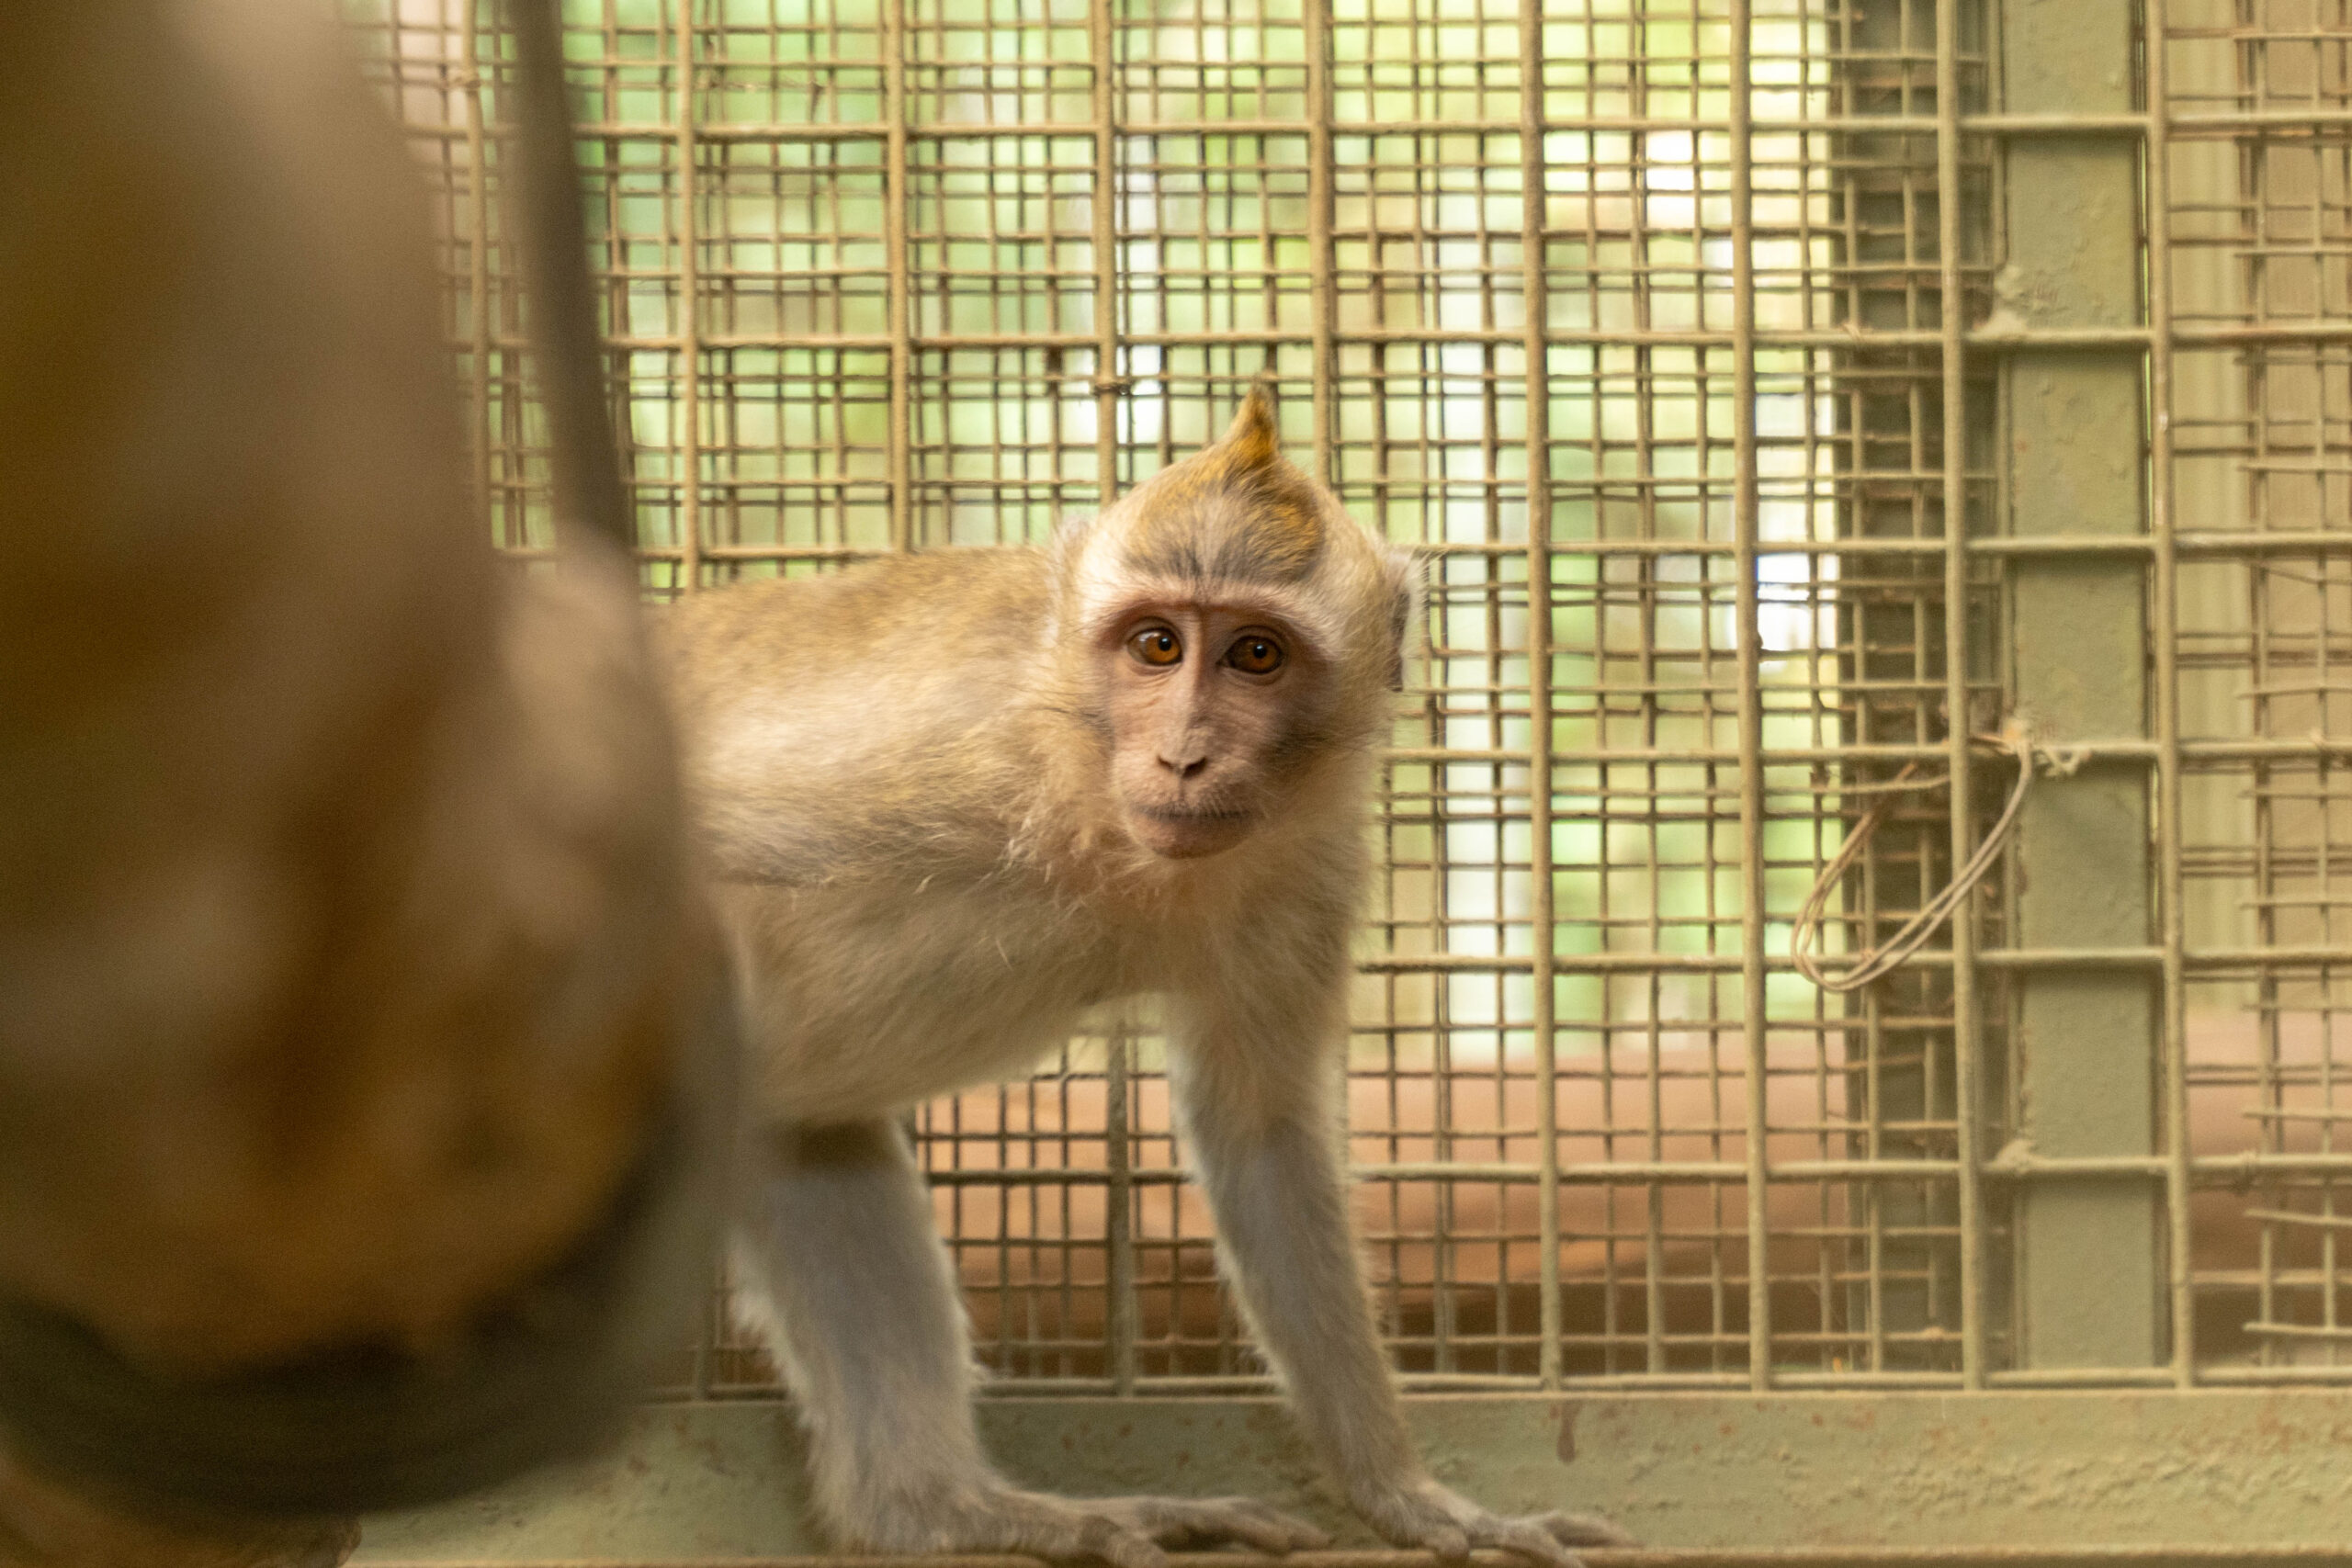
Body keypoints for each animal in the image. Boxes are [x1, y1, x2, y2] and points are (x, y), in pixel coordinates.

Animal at [662, 384, 1634, 1568]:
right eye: (1158, 644)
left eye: (1255, 654)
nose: (1182, 755)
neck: (1088, 791)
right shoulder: (932, 753)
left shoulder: (1307, 870)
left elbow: (1261, 1129)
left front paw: (1402, 1496)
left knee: (813, 1149)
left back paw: (947, 1511)